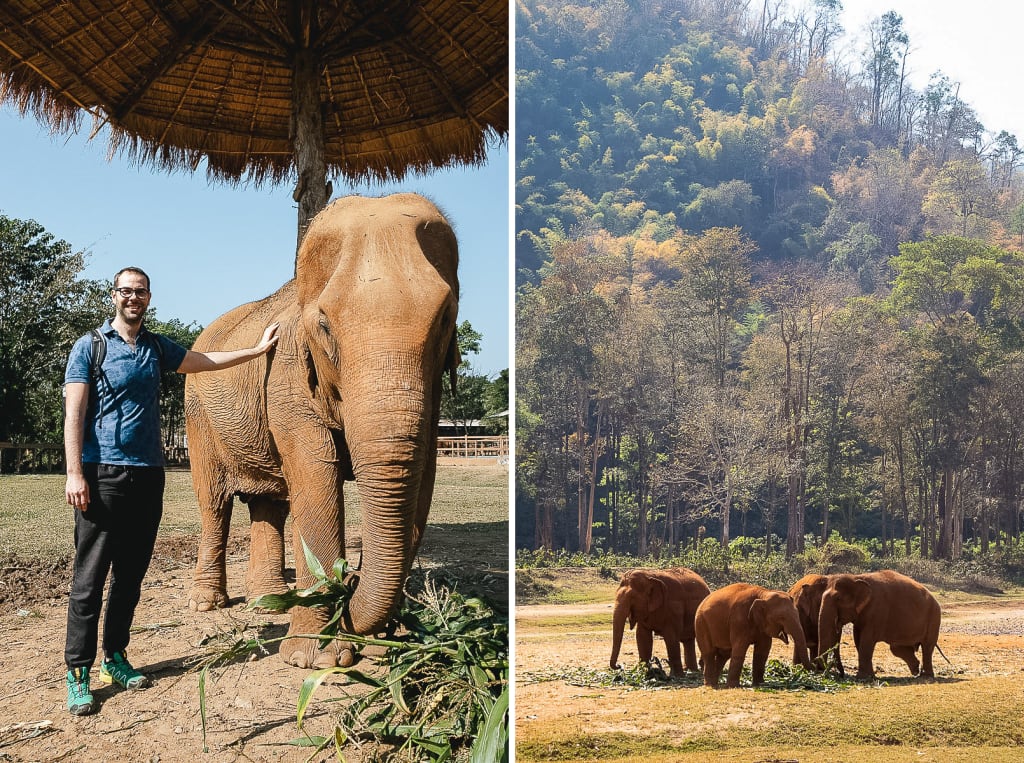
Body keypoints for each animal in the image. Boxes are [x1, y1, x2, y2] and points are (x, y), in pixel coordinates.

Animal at [183, 193, 460, 669]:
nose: (348, 584)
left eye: (444, 317)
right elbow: (316, 477)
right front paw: (316, 659)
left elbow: (424, 474)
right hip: (198, 417)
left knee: (269, 502)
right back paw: (208, 603)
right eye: (325, 325)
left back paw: (268, 601)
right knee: (214, 502)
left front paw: (385, 645)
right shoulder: (289, 377)